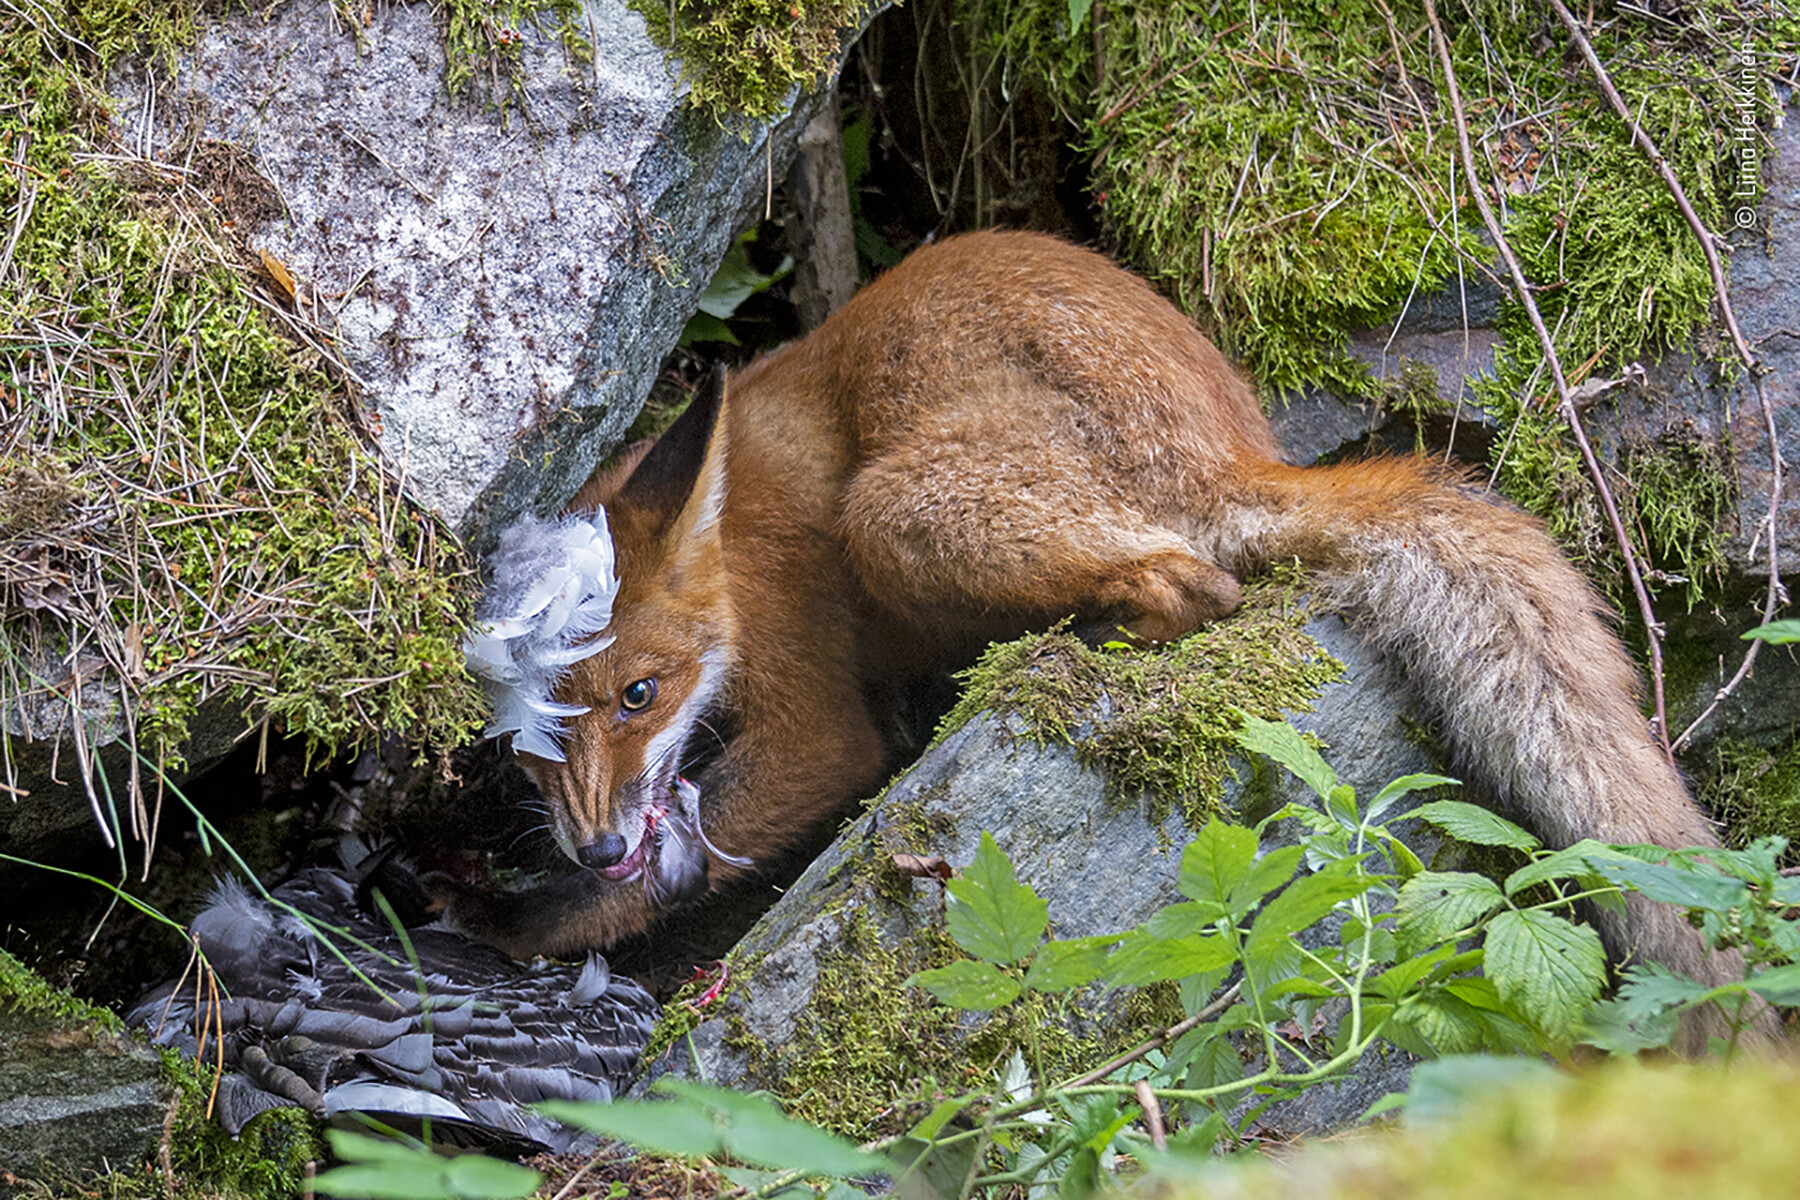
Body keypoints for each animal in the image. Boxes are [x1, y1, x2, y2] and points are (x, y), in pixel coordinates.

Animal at [457, 227, 1735, 1014]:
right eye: (529, 741)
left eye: (641, 693)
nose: (598, 844)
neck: (737, 554)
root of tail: (1238, 449)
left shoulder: (819, 720)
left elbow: (693, 848)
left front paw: (513, 921)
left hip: (898, 511)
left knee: (1198, 586)